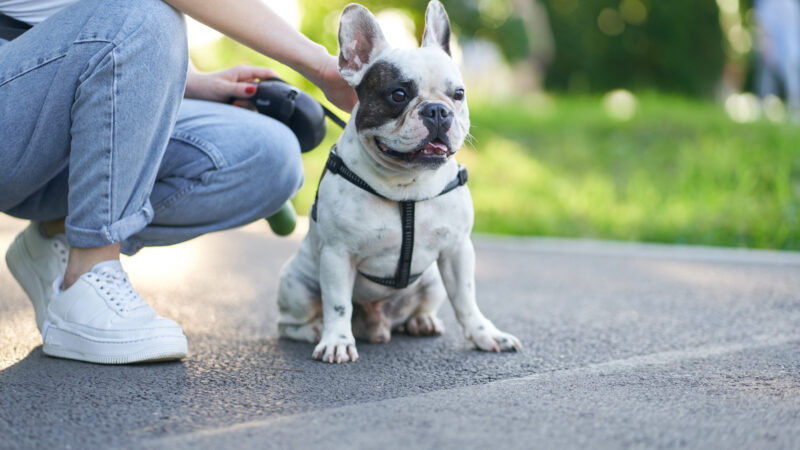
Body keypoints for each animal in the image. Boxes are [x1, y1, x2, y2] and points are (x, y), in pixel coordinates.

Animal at [278, 0, 520, 362]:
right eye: (398, 94)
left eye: (458, 94)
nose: (437, 110)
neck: (408, 185)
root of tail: (377, 325)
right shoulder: (337, 255)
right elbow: (337, 304)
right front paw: (337, 341)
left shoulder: (457, 250)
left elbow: (466, 299)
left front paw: (485, 334)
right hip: (296, 284)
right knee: (292, 323)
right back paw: (316, 331)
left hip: (432, 282)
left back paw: (421, 321)